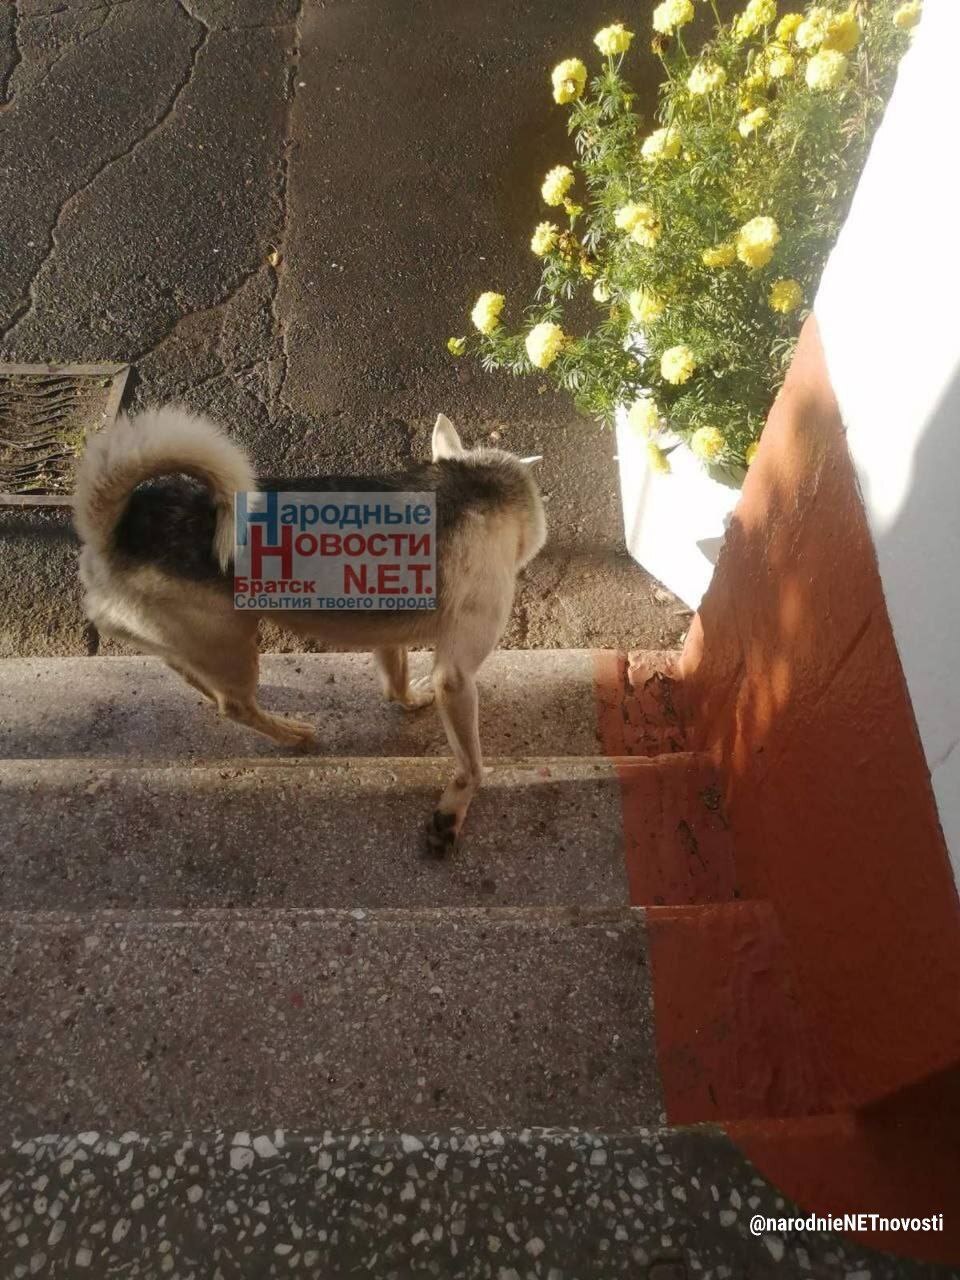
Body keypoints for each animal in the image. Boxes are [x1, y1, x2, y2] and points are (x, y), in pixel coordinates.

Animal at [75, 404, 547, 855]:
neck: (476, 483)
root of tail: (114, 533)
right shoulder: (457, 677)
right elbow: (472, 767)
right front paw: (450, 816)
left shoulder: (389, 636)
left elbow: (395, 683)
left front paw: (412, 700)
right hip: (235, 643)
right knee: (235, 707)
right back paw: (292, 734)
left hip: (201, 641)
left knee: (197, 679)